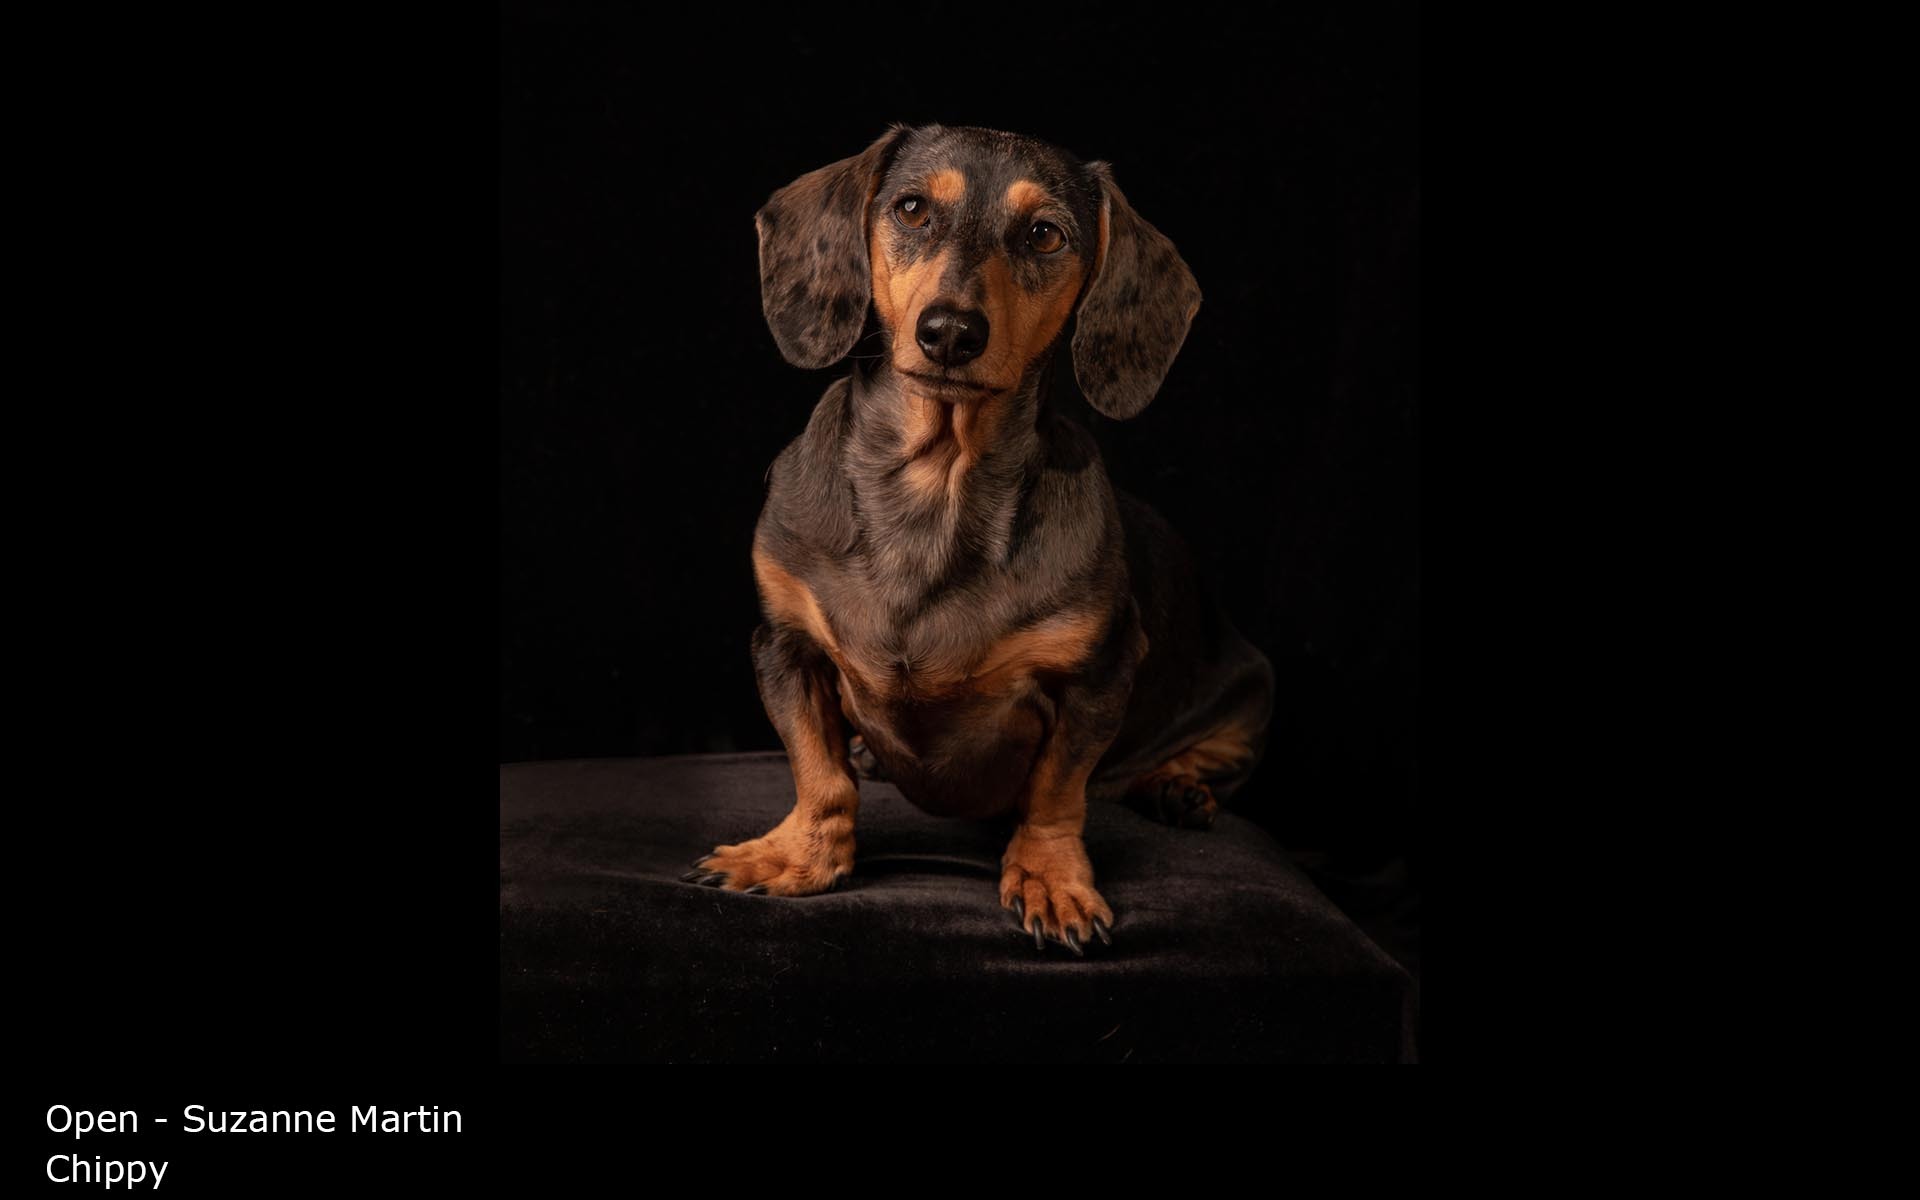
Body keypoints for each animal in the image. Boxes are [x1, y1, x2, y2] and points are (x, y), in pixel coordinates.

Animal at [685, 124, 1274, 955]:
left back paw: (1179, 789)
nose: (951, 333)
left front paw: (1051, 878)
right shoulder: (784, 643)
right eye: (912, 208)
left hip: (1251, 691)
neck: (937, 486)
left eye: (1045, 234)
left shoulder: (1098, 676)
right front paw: (798, 855)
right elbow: (817, 769)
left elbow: (1056, 793)